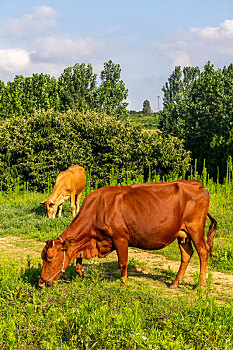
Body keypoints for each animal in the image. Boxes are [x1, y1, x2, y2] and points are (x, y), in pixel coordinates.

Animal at [38, 179, 217, 288]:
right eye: (43, 257)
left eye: (50, 257)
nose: (40, 282)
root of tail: (196, 184)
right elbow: (77, 256)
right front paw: (81, 271)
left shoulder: (120, 238)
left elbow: (122, 263)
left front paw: (123, 283)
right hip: (182, 233)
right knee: (186, 254)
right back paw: (175, 282)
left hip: (195, 229)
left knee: (203, 252)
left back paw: (200, 285)